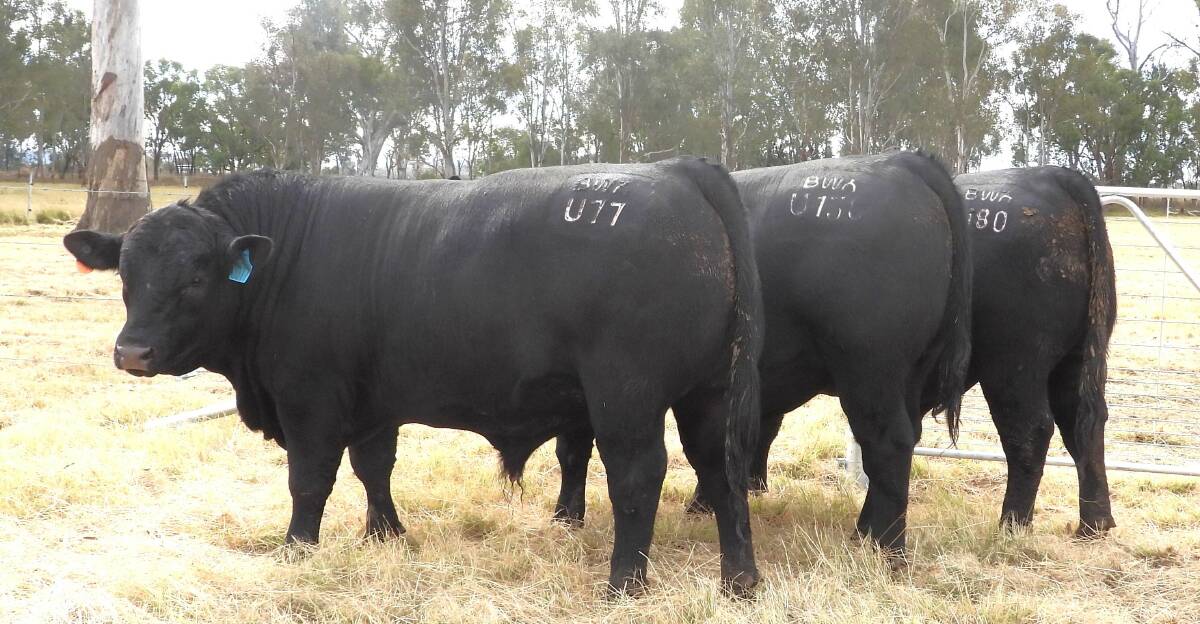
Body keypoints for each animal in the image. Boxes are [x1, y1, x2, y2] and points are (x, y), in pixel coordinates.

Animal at [63, 157, 764, 597]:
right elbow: (373, 468)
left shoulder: (310, 399)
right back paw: (739, 581)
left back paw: (625, 584)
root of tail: (677, 169)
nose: (132, 352)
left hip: (626, 396)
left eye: (196, 276)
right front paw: (385, 534)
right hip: (708, 393)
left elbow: (309, 480)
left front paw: (298, 548)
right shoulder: (373, 402)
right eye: (127, 273)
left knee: (639, 478)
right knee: (719, 472)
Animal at [553, 151, 973, 562]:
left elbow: (571, 449)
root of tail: (903, 161)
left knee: (888, 443)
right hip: (909, 374)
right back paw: (864, 533)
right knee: (902, 441)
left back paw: (886, 548)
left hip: (870, 368)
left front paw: (565, 517)